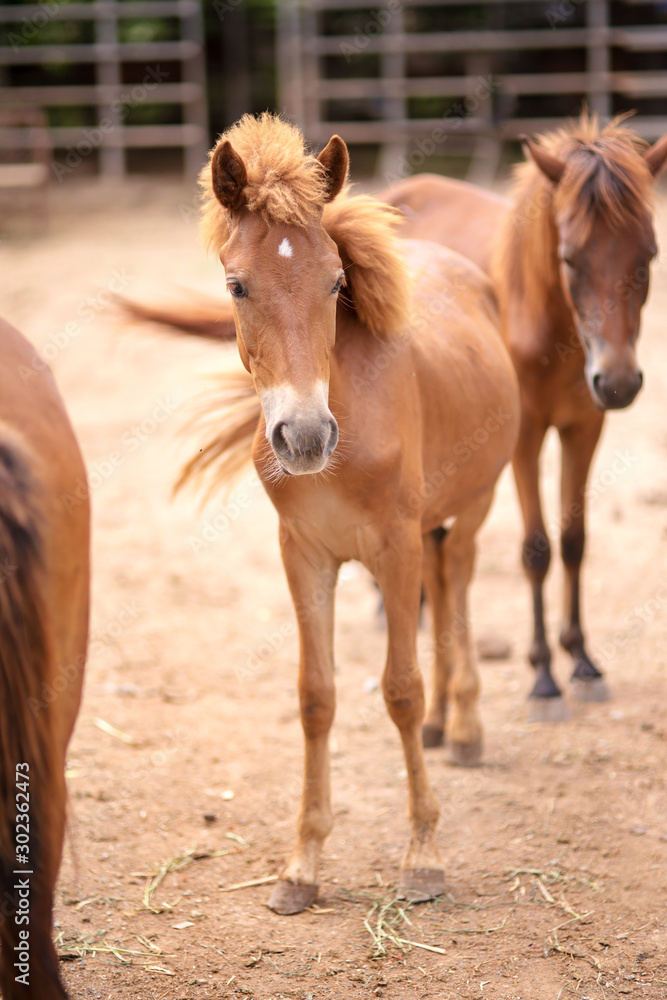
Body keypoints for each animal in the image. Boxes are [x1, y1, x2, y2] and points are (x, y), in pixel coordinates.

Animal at [127, 113, 519, 914]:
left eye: (336, 282)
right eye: (237, 286)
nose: (304, 437)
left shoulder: (394, 548)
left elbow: (400, 689)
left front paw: (423, 858)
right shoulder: (304, 551)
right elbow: (316, 696)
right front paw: (300, 868)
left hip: (473, 505)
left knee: (459, 581)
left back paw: (465, 724)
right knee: (445, 585)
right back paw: (448, 727)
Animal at [381, 112, 667, 720]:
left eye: (648, 257)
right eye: (570, 259)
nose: (619, 380)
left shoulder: (586, 428)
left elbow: (574, 540)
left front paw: (581, 662)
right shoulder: (523, 439)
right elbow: (536, 548)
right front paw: (543, 676)